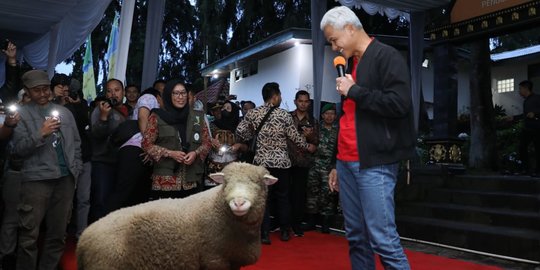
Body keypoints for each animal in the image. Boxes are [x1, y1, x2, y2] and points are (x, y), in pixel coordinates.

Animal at [77, 161, 278, 268]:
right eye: (225, 183)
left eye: (258, 183)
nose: (238, 202)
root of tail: (83, 239)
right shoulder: (214, 258)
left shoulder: (232, 261)